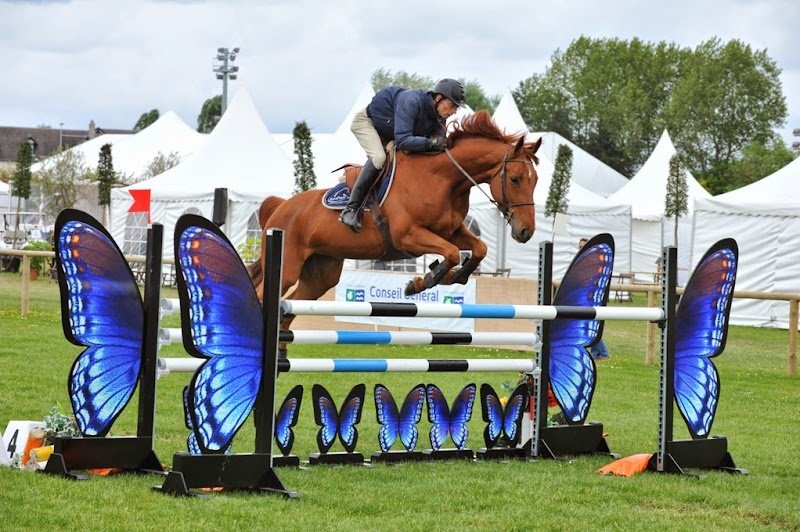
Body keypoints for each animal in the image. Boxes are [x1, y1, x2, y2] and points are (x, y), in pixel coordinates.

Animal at [250, 110, 542, 350]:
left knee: (291, 307)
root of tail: (280, 207)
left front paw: (453, 277)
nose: (525, 231)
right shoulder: (408, 236)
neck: (443, 180)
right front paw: (422, 282)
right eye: (515, 179)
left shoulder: (450, 231)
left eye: (535, 180)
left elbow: (478, 248)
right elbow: (450, 253)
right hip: (288, 266)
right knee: (264, 295)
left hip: (321, 274)